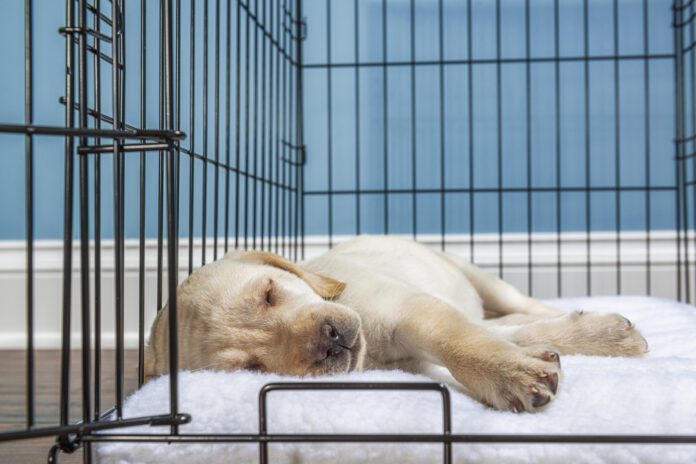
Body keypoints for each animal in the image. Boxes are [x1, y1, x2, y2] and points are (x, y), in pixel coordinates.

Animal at [144, 237, 648, 412]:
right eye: (251, 368)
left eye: (269, 292)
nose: (328, 342)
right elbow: (503, 336)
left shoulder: (414, 310)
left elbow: (464, 341)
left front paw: (513, 373)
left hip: (478, 277)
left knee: (522, 306)